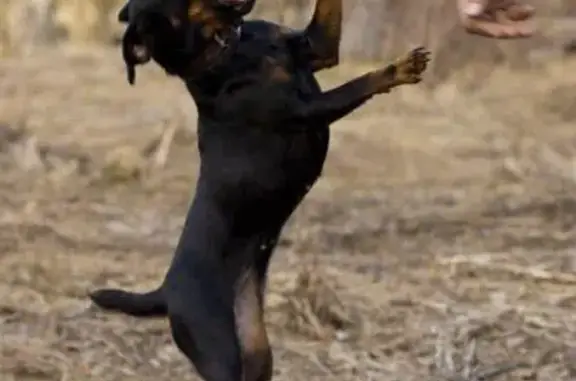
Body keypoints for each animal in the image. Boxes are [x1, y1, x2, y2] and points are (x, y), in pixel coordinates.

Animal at [92, 0, 430, 380]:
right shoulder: (308, 109)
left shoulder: (317, 48)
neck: (229, 47)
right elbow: (359, 84)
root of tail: (165, 291)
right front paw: (399, 68)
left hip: (256, 352)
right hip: (219, 353)